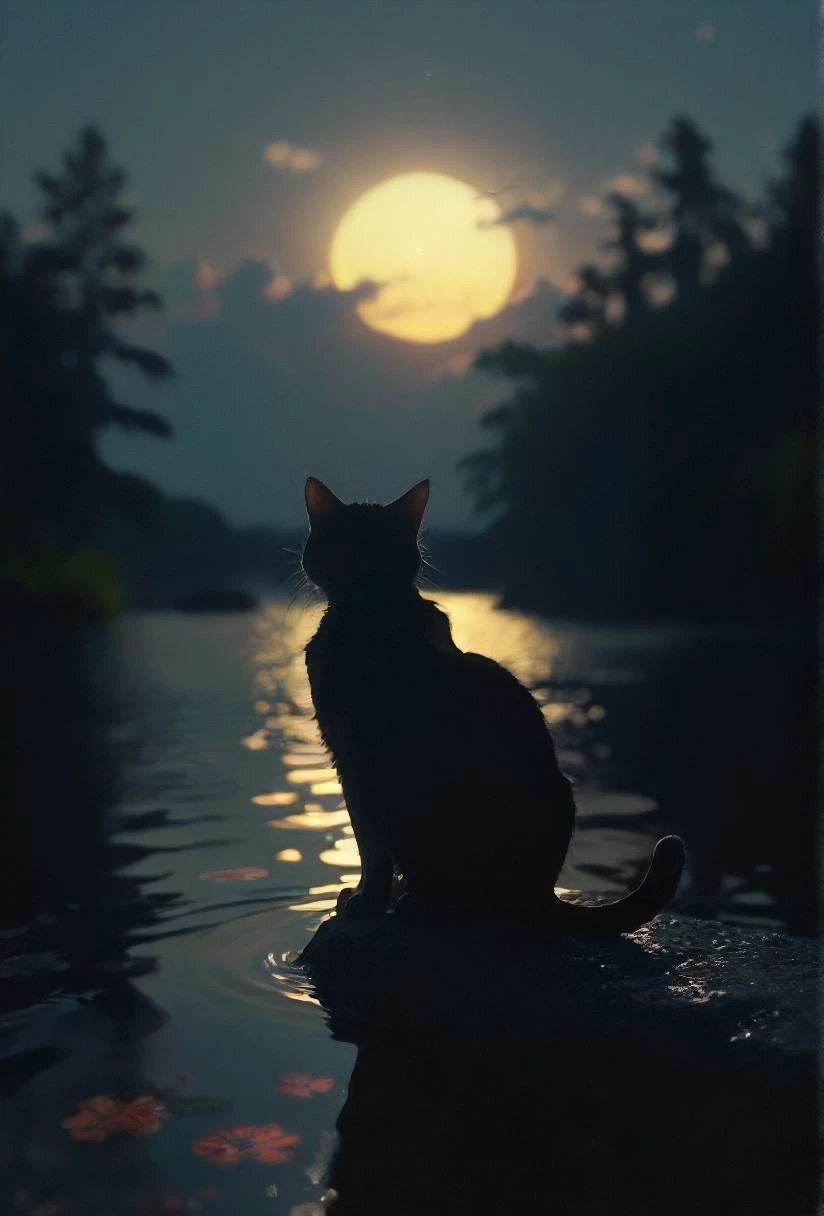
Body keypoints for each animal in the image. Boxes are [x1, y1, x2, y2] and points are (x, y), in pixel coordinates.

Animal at [301, 474, 685, 929]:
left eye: (377, 544)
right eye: (347, 543)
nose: (362, 566)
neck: (369, 616)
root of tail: (544, 895)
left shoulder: (363, 762)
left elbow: (371, 849)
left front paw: (368, 902)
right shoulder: (346, 761)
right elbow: (364, 846)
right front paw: (363, 895)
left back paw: (421, 902)